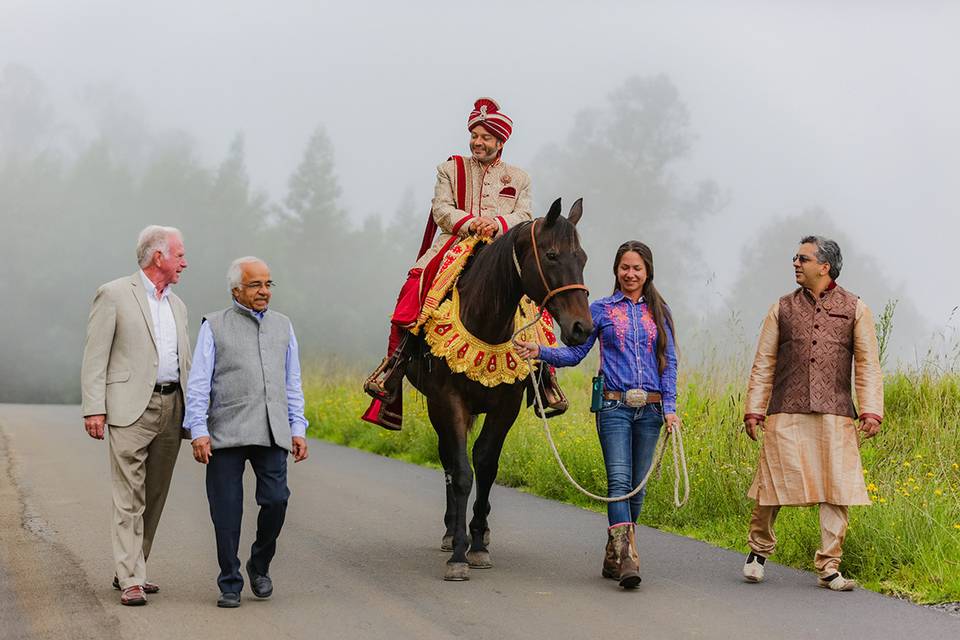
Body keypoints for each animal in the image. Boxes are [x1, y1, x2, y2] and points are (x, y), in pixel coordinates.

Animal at [404, 196, 592, 580]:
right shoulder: (448, 401)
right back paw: (450, 531)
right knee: (448, 460)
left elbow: (487, 465)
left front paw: (478, 544)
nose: (581, 327)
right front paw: (459, 553)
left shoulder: (505, 406)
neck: (486, 320)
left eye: (581, 258)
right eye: (552, 255)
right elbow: (462, 470)